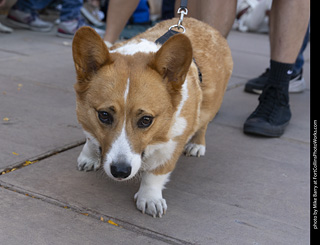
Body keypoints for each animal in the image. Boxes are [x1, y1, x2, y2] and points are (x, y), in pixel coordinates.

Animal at [72, 17, 232, 217]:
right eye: (104, 115)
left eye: (146, 120)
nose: (120, 171)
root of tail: (204, 24)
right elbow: (91, 138)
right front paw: (89, 156)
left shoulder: (173, 143)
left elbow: (156, 174)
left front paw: (150, 199)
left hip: (210, 106)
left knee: (203, 124)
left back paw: (197, 145)